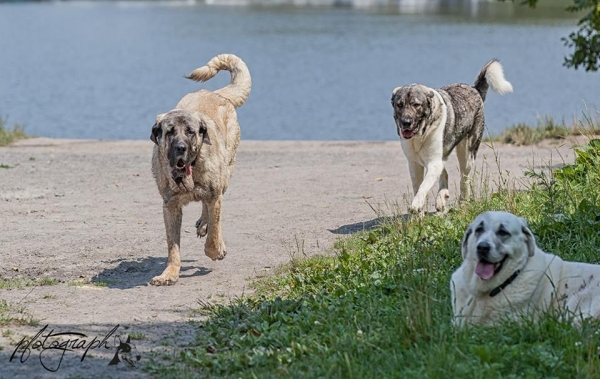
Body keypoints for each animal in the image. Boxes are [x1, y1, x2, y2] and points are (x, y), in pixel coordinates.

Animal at [151, 52, 252, 284]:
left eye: (190, 131)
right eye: (169, 131)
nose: (180, 148)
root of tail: (217, 94)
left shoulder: (215, 194)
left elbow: (214, 234)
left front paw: (216, 249)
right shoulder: (170, 206)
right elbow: (173, 246)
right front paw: (169, 273)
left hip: (225, 175)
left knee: (214, 215)